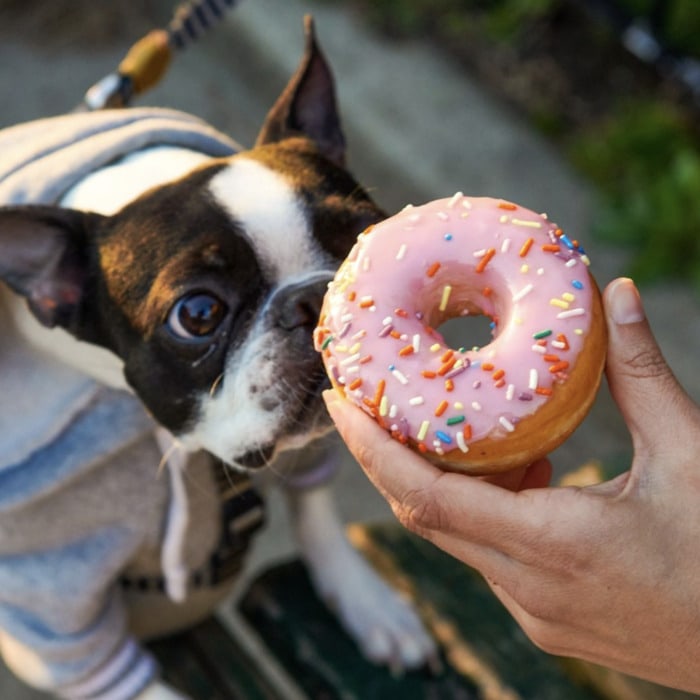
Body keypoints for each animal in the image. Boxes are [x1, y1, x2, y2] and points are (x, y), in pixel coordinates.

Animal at [0, 15, 438, 700]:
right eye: (198, 314)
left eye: (367, 235)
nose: (316, 297)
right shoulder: (50, 605)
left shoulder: (315, 443)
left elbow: (316, 506)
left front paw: (368, 603)